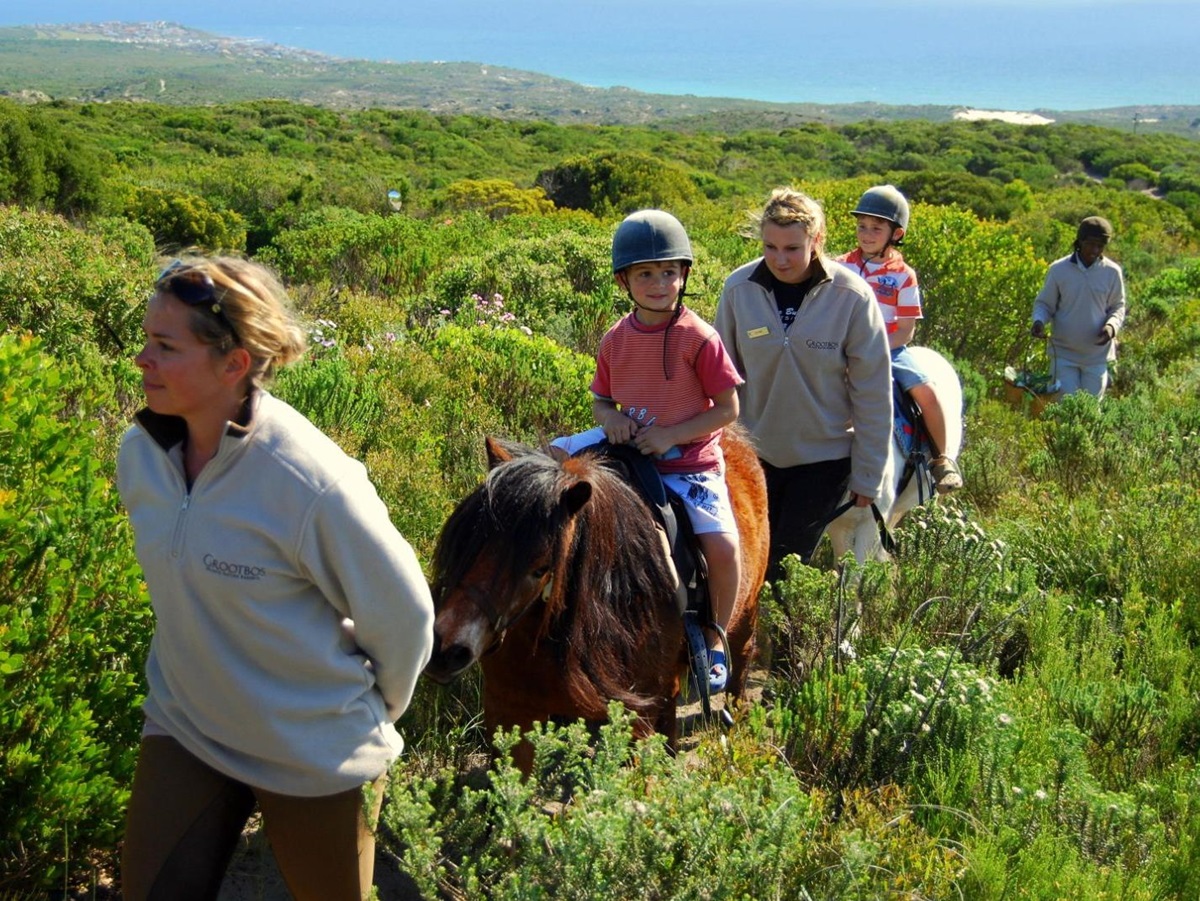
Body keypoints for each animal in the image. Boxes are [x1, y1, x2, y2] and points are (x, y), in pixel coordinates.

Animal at [423, 426, 769, 773]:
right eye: (468, 540)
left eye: (540, 568)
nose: (445, 650)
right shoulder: (509, 712)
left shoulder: (637, 718)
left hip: (743, 614)